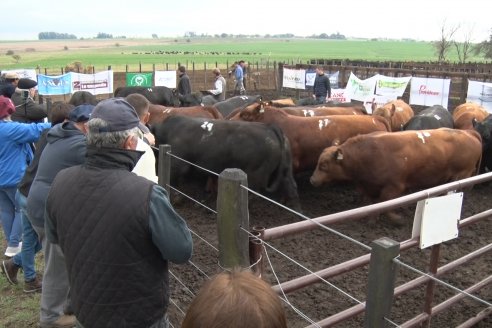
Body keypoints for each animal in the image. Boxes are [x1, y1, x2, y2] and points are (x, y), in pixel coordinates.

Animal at [153, 114, 300, 210]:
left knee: (252, 194)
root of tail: (270, 128)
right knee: (292, 186)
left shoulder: (177, 164)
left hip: (255, 175)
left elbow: (172, 182)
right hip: (286, 169)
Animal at [310, 129, 482, 204]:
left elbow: (384, 203)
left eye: (323, 165)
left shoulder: (394, 186)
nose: (312, 180)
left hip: (461, 175)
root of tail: (469, 133)